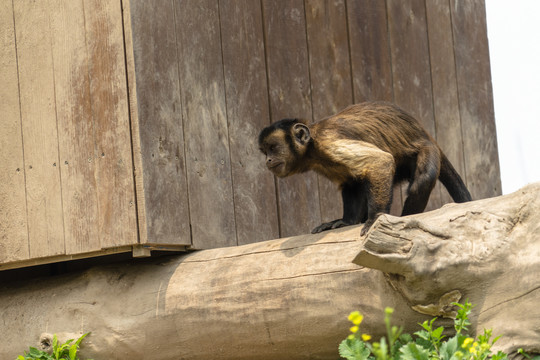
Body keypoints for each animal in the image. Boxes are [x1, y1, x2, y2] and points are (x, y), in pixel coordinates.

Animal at [258, 101, 472, 236]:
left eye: (273, 148)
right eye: (264, 151)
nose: (268, 160)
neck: (312, 147)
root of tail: (426, 133)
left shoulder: (329, 144)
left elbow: (380, 162)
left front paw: (375, 218)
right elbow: (351, 183)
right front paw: (347, 221)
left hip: (426, 149)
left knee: (422, 180)